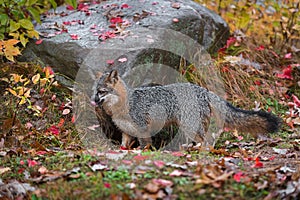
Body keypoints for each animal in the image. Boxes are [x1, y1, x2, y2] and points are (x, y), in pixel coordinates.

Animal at [93, 70, 282, 148]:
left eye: (101, 92)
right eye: (94, 91)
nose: (93, 100)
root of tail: (204, 90)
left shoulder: (143, 129)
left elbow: (146, 146)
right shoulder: (126, 133)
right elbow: (124, 147)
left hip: (190, 127)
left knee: (206, 140)